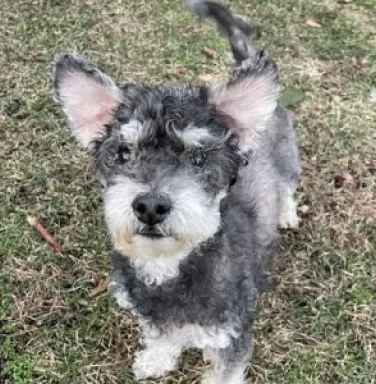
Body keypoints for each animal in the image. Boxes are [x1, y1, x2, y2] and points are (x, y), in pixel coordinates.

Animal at [52, 1, 300, 382]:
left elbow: (224, 371)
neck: (169, 267)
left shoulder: (231, 335)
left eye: (198, 158)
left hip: (288, 157)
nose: (150, 206)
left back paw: (286, 214)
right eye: (123, 153)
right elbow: (163, 338)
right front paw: (155, 360)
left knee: (287, 187)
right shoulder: (154, 316)